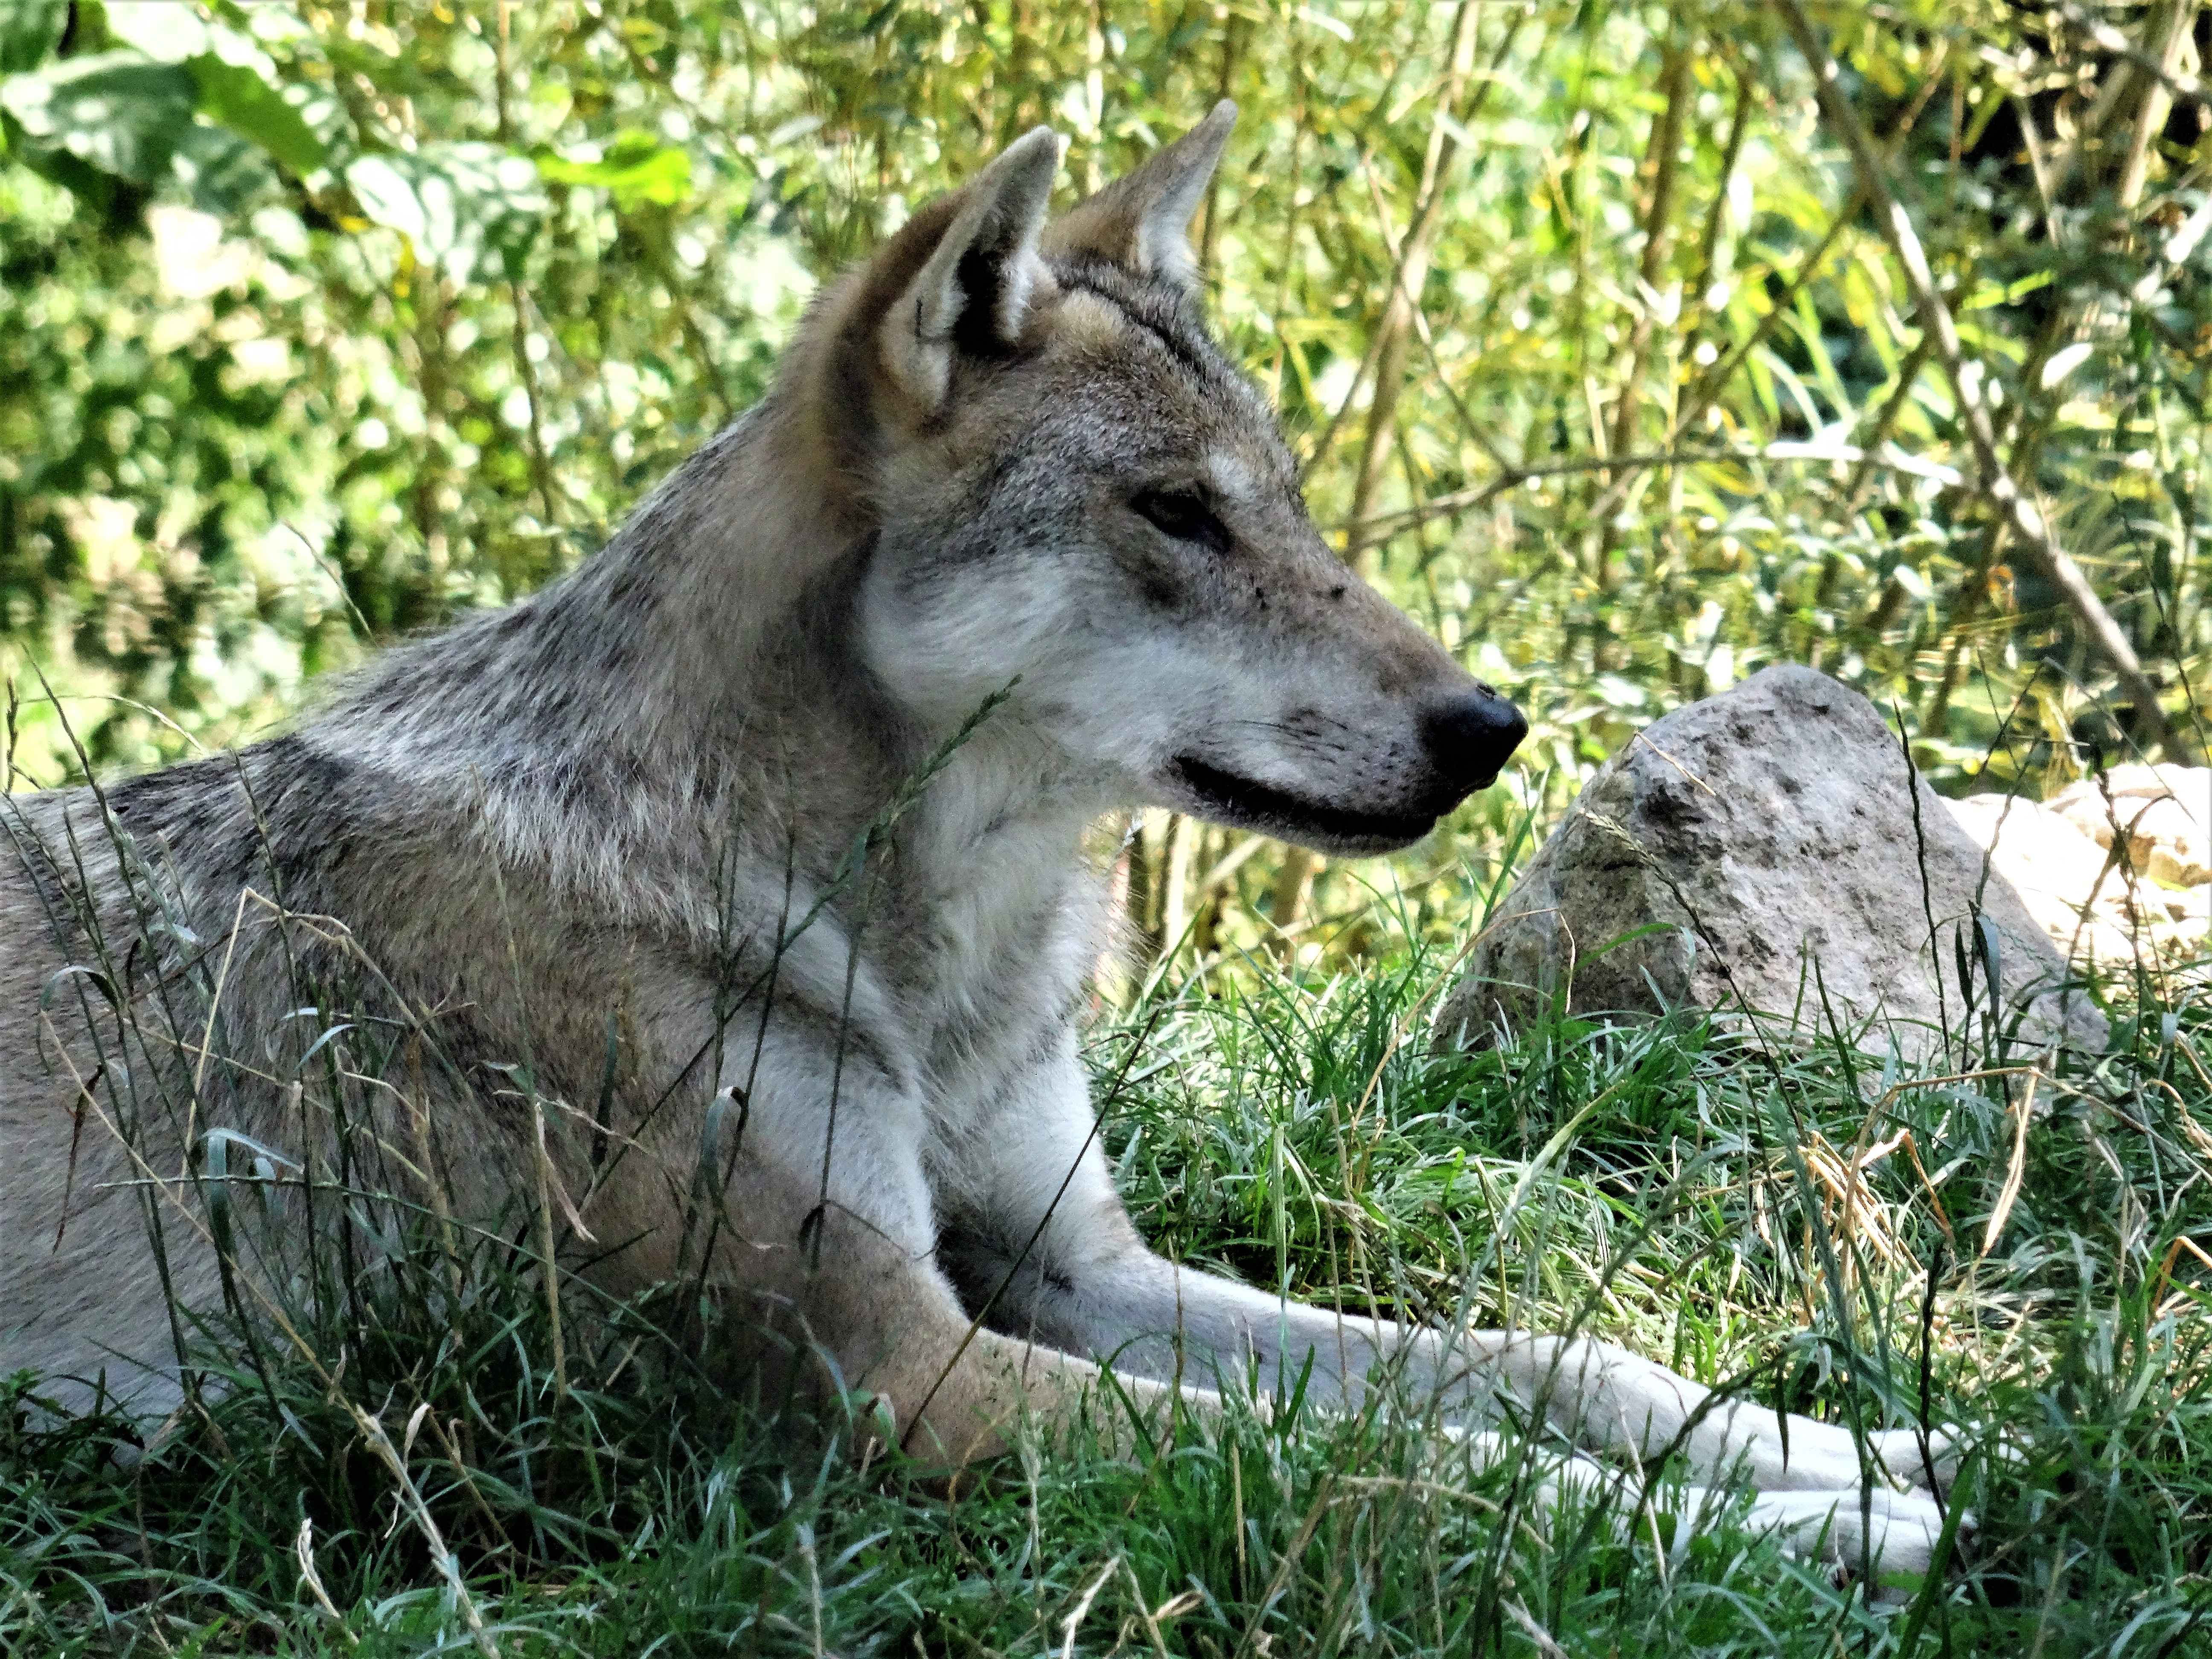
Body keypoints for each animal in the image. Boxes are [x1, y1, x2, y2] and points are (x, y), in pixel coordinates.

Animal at [0, 104, 1955, 1583]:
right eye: (1176, 516)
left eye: (1291, 508)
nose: (1491, 731)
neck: (926, 962)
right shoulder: (907, 1366)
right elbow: (1422, 1468)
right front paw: (1812, 1539)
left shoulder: (1079, 1269)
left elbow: (1529, 1358)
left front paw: (1833, 1445)